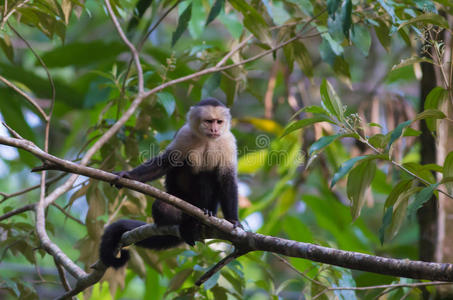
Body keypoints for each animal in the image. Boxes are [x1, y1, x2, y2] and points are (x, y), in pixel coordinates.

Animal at [99, 98, 240, 270]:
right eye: (208, 121)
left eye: (219, 122)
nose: (214, 129)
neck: (207, 139)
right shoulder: (184, 135)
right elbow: (166, 162)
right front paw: (128, 175)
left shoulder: (228, 141)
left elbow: (227, 179)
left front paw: (233, 220)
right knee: (164, 204)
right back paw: (188, 223)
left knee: (206, 176)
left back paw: (204, 214)